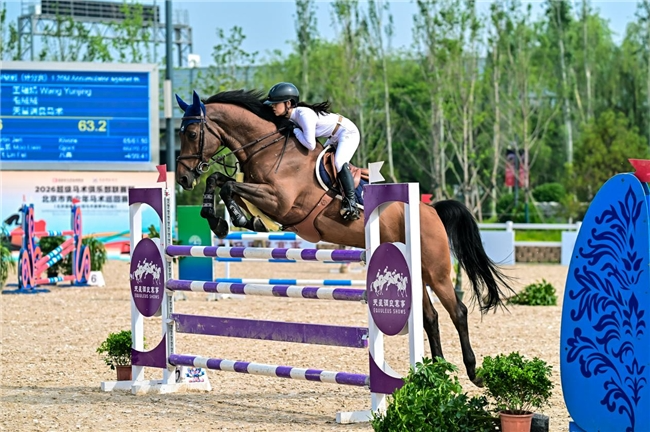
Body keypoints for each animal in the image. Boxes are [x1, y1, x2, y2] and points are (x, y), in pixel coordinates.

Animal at [174, 89, 514, 386]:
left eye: (190, 134)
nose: (183, 178)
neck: (268, 148)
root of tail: (430, 210)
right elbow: (220, 180)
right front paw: (222, 219)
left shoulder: (279, 201)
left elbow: (230, 185)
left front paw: (232, 218)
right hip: (414, 272)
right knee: (429, 316)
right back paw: (436, 371)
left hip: (435, 270)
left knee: (458, 312)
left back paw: (472, 372)